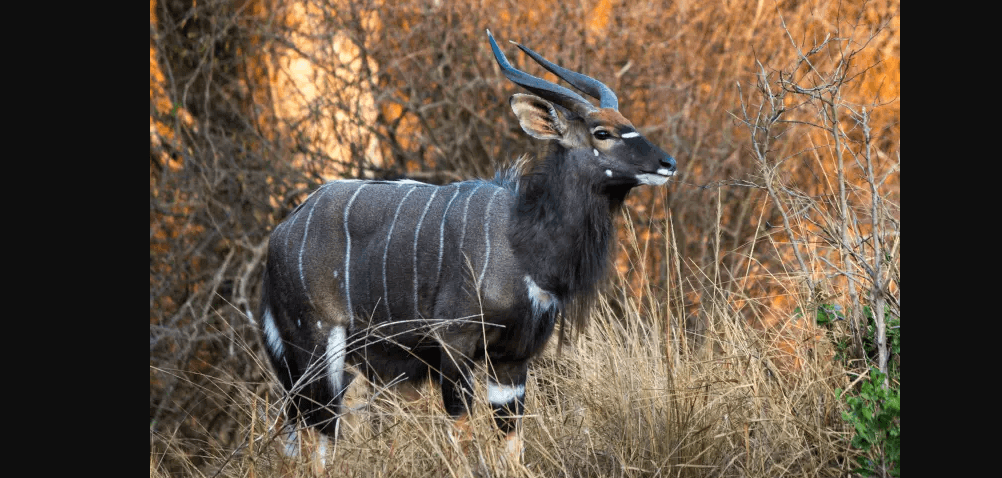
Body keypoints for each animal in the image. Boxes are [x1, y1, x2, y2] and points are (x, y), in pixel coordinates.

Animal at [258, 29, 676, 463]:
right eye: (601, 133)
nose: (667, 163)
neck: (523, 243)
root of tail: (281, 233)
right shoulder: (455, 342)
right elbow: (462, 433)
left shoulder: (513, 357)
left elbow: (510, 439)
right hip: (317, 346)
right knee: (319, 435)